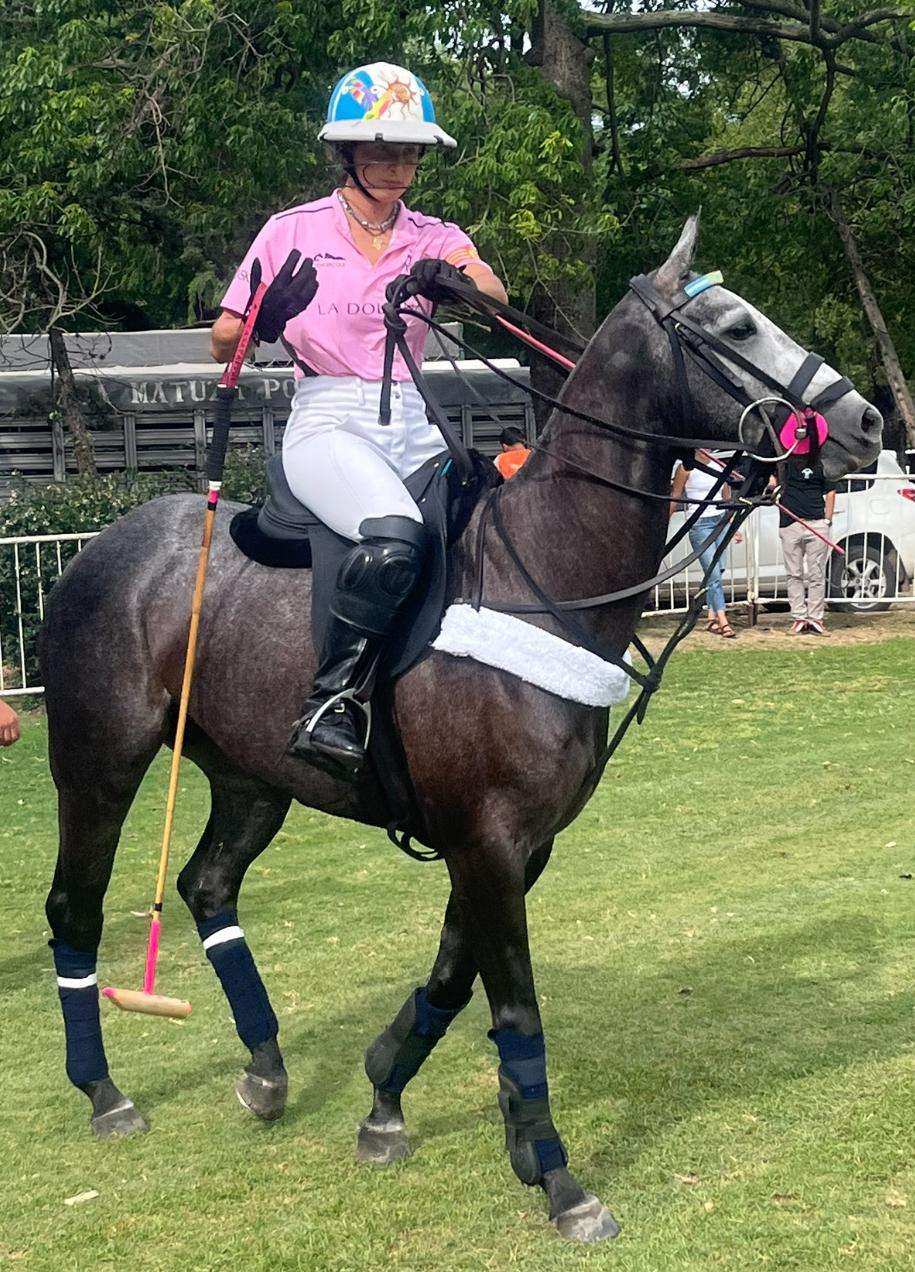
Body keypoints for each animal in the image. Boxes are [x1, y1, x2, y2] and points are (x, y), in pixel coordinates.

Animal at [40, 217, 882, 1243]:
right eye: (733, 324)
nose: (866, 422)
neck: (547, 571)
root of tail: (99, 549)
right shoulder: (485, 837)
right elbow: (514, 1006)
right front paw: (559, 1181)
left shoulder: (513, 843)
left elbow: (451, 978)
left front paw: (389, 1102)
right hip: (99, 759)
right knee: (75, 909)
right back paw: (105, 1093)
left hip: (250, 777)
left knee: (207, 886)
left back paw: (267, 1069)